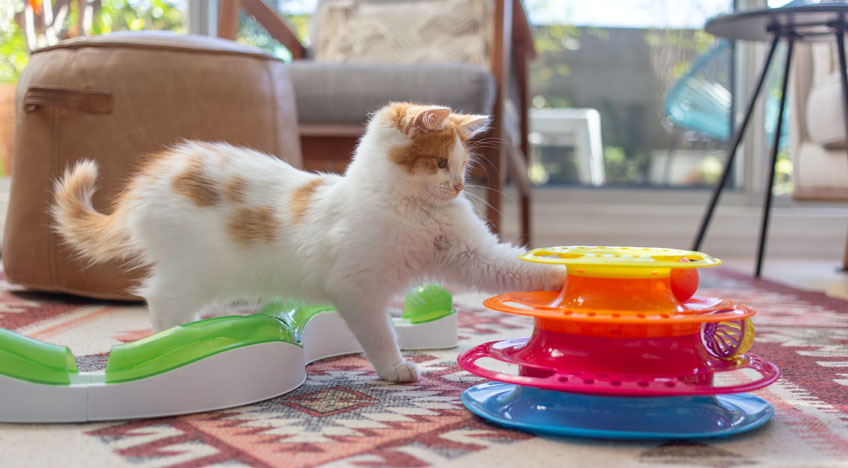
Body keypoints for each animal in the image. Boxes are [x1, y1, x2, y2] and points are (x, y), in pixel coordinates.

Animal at [51, 103, 564, 384]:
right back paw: (172, 336)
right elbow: (379, 332)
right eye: (440, 163)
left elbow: (514, 267)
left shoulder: (470, 254)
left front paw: (566, 273)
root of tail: (150, 181)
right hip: (196, 270)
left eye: (462, 166)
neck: (410, 209)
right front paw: (394, 367)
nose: (458, 187)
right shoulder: (355, 288)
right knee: (157, 297)